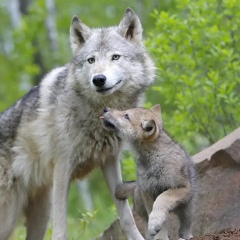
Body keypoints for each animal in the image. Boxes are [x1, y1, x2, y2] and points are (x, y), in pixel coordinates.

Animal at [0, 7, 155, 240]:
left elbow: (127, 218)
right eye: (91, 60)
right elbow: (61, 230)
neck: (97, 114)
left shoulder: (109, 161)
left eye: (115, 57)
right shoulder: (62, 169)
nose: (98, 79)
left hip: (40, 213)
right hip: (10, 216)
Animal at [100, 105, 196, 240]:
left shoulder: (181, 188)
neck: (153, 159)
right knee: (146, 223)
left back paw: (186, 236)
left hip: (187, 209)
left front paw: (156, 223)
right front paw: (160, 236)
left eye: (126, 116)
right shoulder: (148, 191)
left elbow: (162, 198)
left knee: (185, 226)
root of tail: (136, 185)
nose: (105, 108)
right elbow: (153, 212)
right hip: (141, 203)